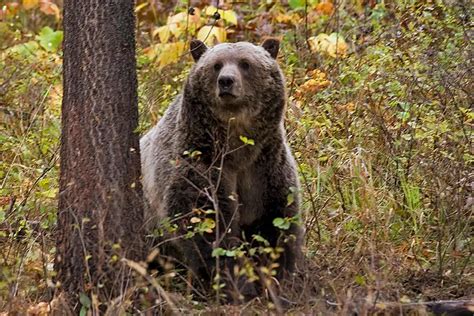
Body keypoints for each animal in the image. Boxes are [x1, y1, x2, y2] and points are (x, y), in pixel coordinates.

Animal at [141, 38, 304, 300]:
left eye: (245, 63)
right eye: (216, 64)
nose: (226, 81)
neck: (237, 147)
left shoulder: (265, 167)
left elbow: (275, 221)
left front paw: (273, 278)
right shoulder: (200, 162)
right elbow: (207, 224)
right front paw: (235, 284)